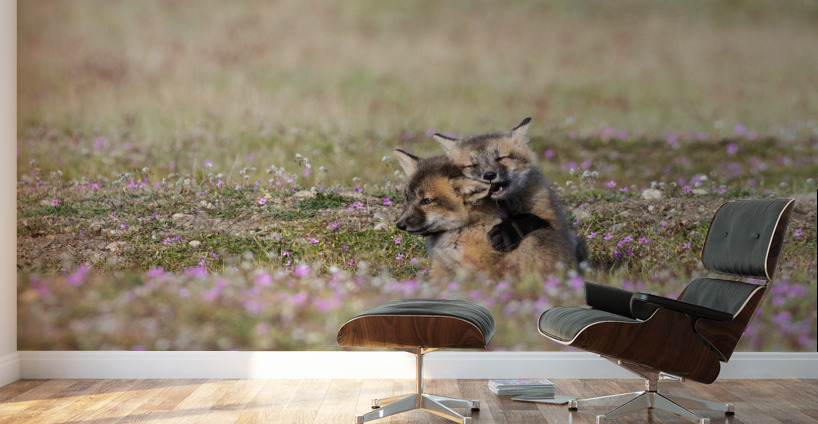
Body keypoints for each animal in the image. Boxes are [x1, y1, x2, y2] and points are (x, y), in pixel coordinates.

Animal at [433, 118, 584, 267]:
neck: (504, 205)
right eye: (472, 165)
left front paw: (505, 232)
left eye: (501, 158)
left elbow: (530, 218)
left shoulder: (558, 226)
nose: (489, 175)